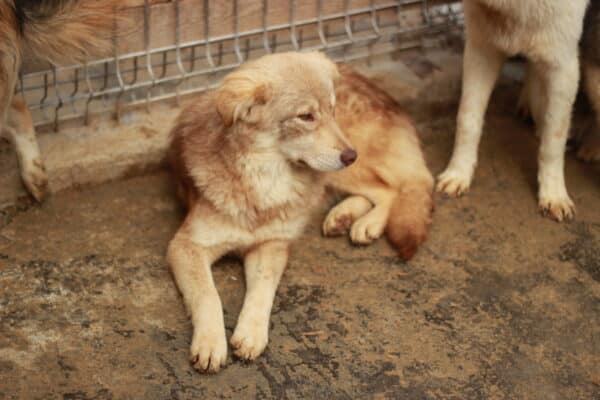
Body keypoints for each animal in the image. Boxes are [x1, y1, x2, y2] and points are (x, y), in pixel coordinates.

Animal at [166, 51, 434, 374]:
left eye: (332, 110)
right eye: (305, 117)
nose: (351, 155)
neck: (264, 181)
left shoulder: (272, 246)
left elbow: (262, 292)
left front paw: (251, 333)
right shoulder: (186, 246)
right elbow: (208, 295)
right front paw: (210, 342)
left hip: (343, 170)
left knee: (393, 188)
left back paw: (365, 223)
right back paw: (343, 216)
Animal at [436, 0, 592, 220]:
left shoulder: (564, 67)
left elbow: (553, 141)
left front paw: (553, 194)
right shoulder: (481, 50)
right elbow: (467, 120)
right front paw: (458, 172)